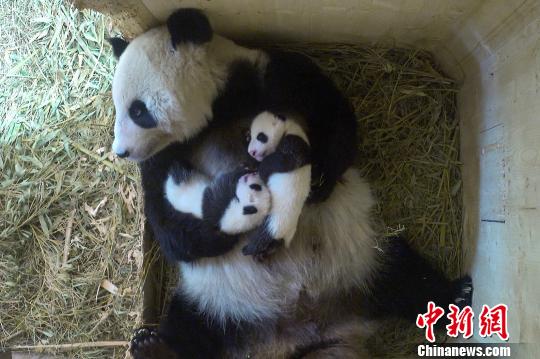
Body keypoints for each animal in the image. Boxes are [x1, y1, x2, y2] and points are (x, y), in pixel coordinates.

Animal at [108, 9, 472, 359]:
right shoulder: (163, 160)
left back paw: (455, 296)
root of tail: (303, 331)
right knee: (190, 325)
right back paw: (154, 346)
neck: (218, 107)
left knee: (404, 275)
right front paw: (225, 223)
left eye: (138, 111)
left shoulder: (272, 76)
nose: (122, 151)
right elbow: (170, 230)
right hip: (217, 301)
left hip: (362, 257)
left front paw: (317, 180)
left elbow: (335, 116)